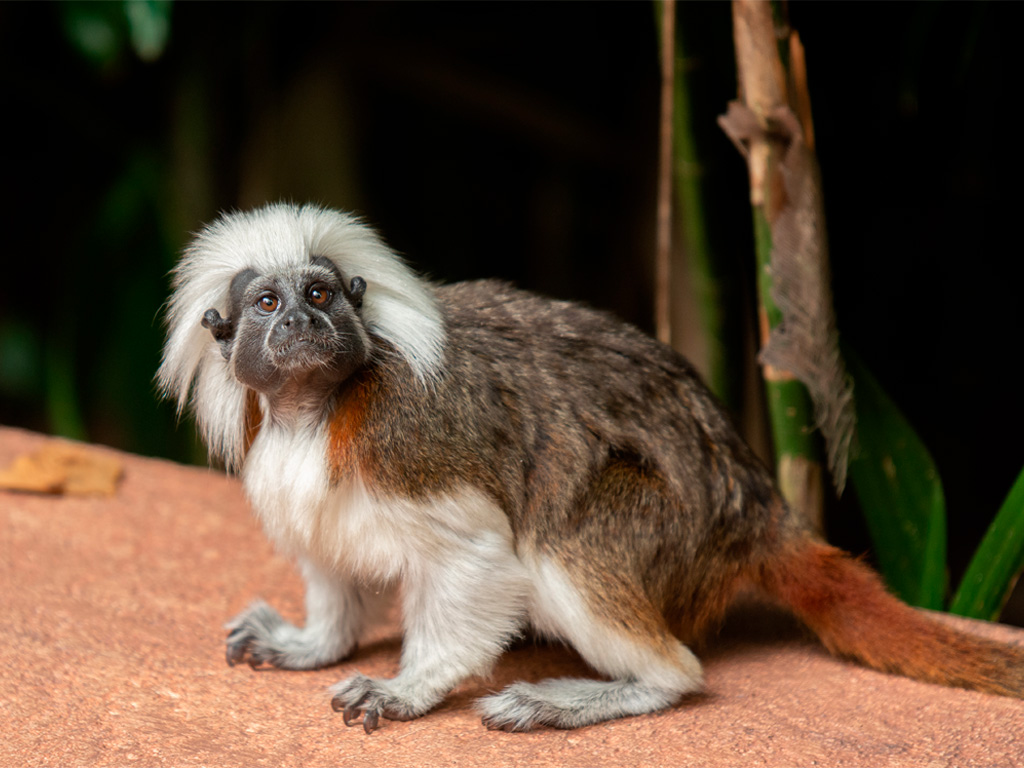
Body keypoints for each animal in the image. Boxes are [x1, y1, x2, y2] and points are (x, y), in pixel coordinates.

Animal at [158, 202, 1024, 734]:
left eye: (321, 295)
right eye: (267, 305)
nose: (303, 326)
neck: (316, 412)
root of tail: (755, 510)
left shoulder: (410, 441)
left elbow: (482, 554)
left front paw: (408, 687)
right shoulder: (286, 474)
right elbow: (332, 569)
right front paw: (312, 643)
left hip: (669, 529)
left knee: (572, 552)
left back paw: (594, 693)